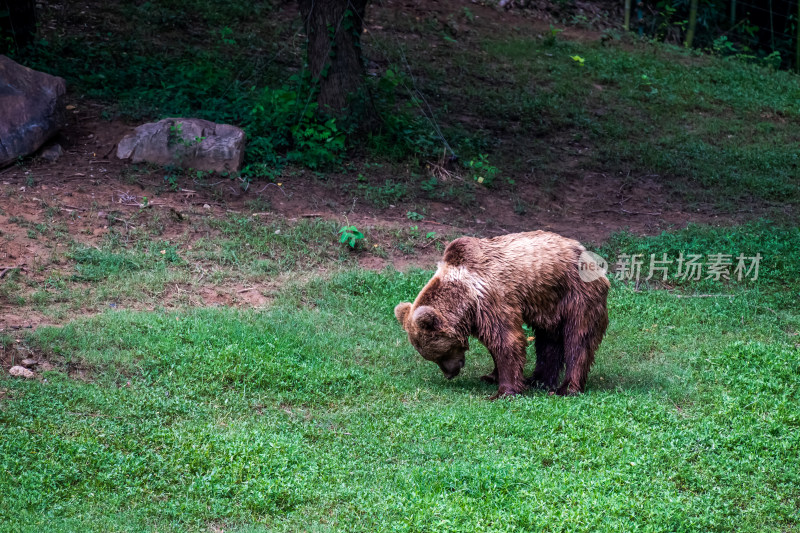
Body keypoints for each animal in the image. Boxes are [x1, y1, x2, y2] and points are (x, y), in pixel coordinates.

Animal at [392, 231, 608, 396]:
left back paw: (566, 388)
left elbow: (507, 340)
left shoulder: (492, 299)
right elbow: (494, 343)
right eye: (433, 358)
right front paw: (491, 376)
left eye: (440, 354)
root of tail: (589, 255)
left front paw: (504, 391)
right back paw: (537, 380)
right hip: (549, 305)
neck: (465, 297)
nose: (450, 373)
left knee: (578, 339)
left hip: (577, 295)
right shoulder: (479, 315)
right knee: (548, 341)